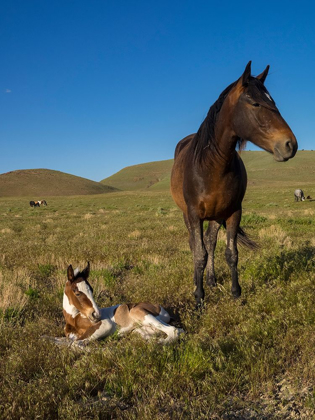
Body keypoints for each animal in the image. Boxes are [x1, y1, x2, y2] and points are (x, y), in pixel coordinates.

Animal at [172, 60, 298, 306]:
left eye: (273, 102)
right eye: (255, 103)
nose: (290, 144)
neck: (212, 166)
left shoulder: (233, 212)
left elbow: (231, 254)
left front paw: (236, 293)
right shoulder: (193, 214)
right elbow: (199, 254)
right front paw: (199, 298)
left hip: (216, 216)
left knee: (210, 242)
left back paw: (211, 279)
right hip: (188, 215)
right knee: (195, 244)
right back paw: (197, 281)